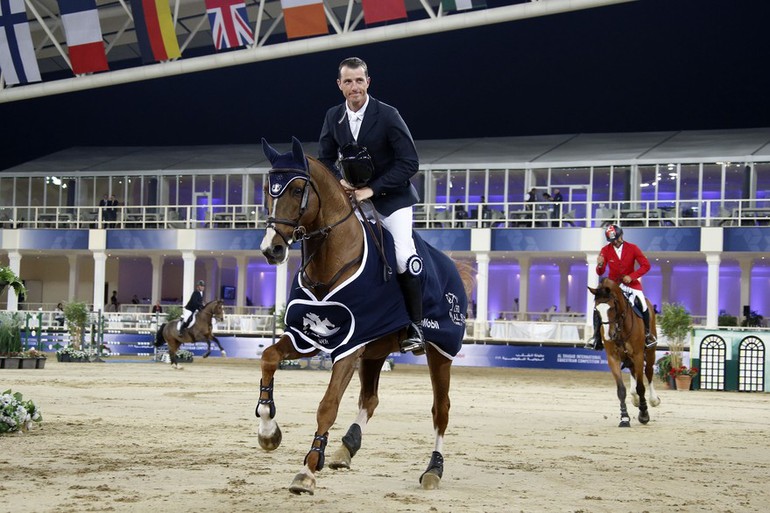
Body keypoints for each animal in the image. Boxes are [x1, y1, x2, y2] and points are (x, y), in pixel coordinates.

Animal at [256, 138, 474, 494]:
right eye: (266, 190)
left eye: (298, 189)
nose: (271, 249)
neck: (330, 261)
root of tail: (454, 268)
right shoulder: (308, 337)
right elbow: (269, 358)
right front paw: (268, 432)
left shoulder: (349, 346)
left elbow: (327, 406)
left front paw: (307, 471)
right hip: (375, 351)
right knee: (369, 399)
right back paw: (346, 448)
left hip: (440, 352)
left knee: (440, 411)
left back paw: (433, 470)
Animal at [588, 278, 660, 426]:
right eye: (596, 310)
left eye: (612, 307)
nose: (609, 336)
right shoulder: (613, 358)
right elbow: (621, 390)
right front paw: (624, 418)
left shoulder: (638, 355)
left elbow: (641, 386)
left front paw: (644, 414)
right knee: (633, 372)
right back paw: (635, 399)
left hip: (650, 353)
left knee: (648, 373)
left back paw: (653, 400)